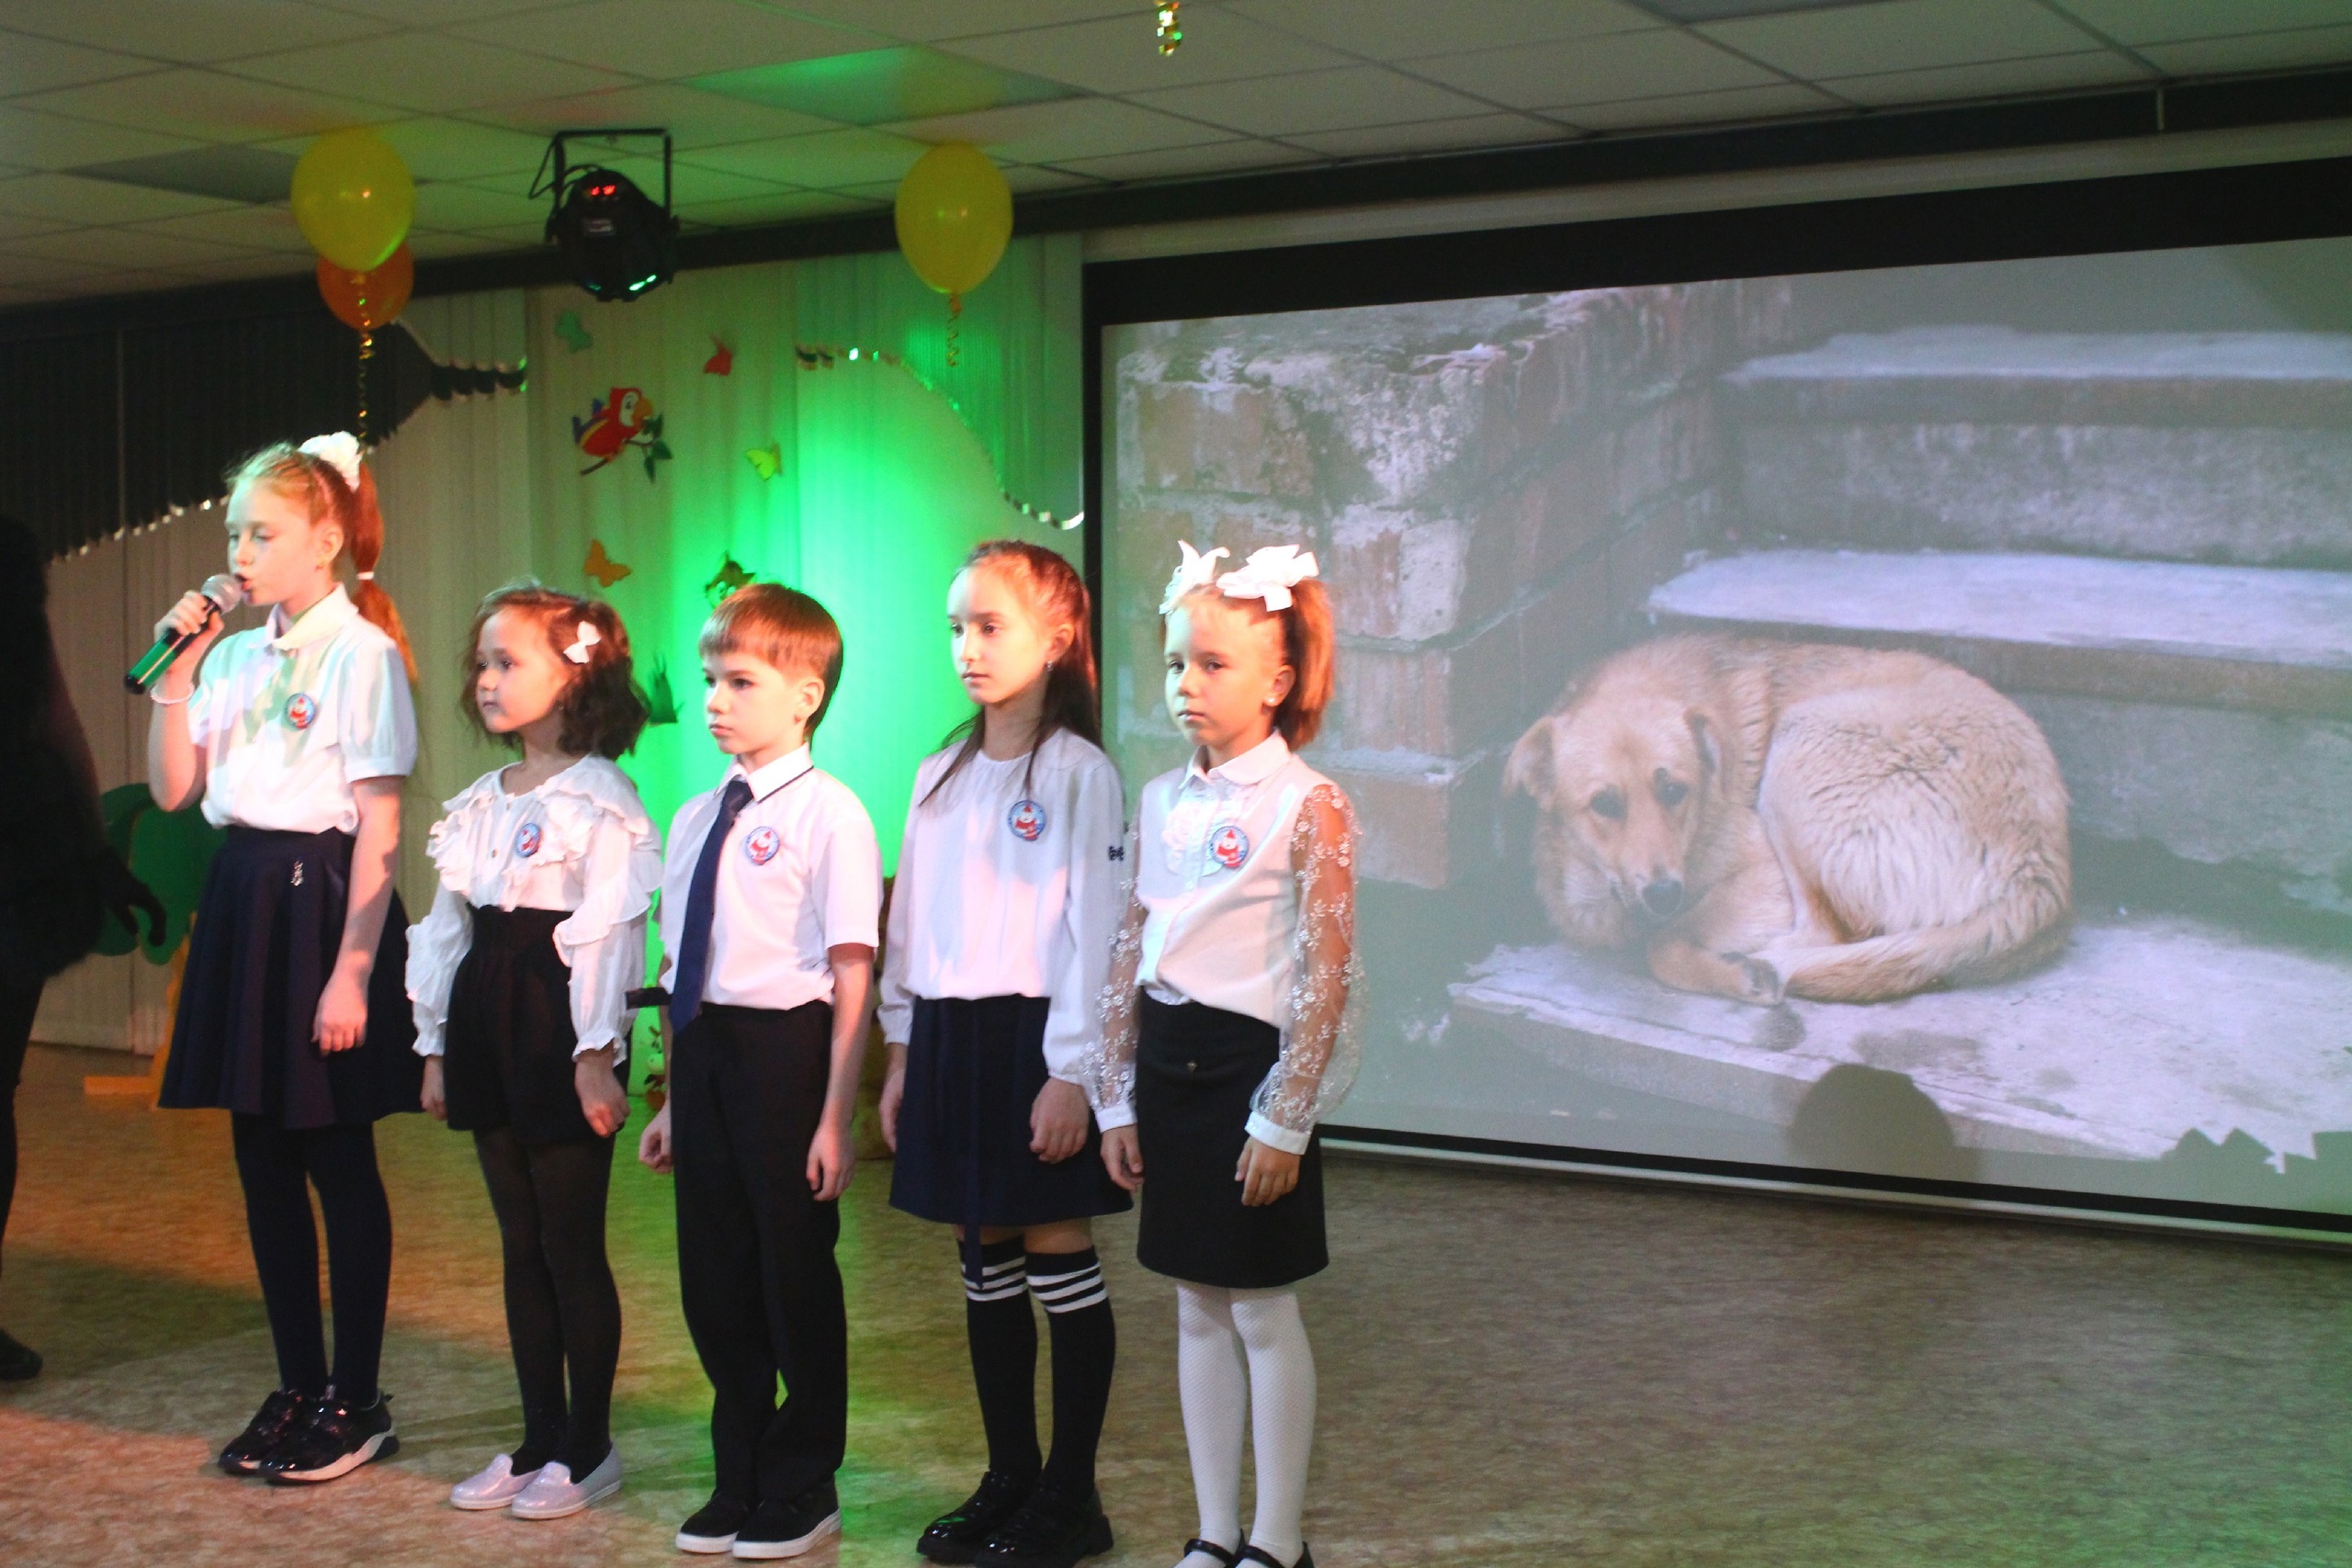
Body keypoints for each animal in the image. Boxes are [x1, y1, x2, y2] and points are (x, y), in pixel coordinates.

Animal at [1505, 634, 2071, 1006]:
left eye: (1673, 790)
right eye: (1605, 804)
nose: (1664, 894)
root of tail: (2042, 874)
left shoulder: (1764, 877)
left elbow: (1661, 944)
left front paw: (1723, 966)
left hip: (1801, 743)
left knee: (1829, 936)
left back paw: (1760, 965)